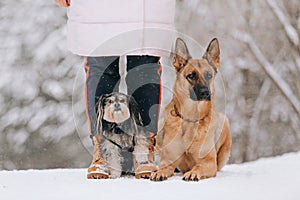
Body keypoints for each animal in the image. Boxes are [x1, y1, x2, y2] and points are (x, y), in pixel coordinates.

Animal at [150, 38, 232, 181]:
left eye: (209, 75)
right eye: (191, 76)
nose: (205, 93)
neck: (190, 117)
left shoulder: (209, 162)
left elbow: (199, 166)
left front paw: (193, 172)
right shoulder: (168, 160)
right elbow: (164, 167)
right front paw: (159, 172)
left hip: (224, 120)